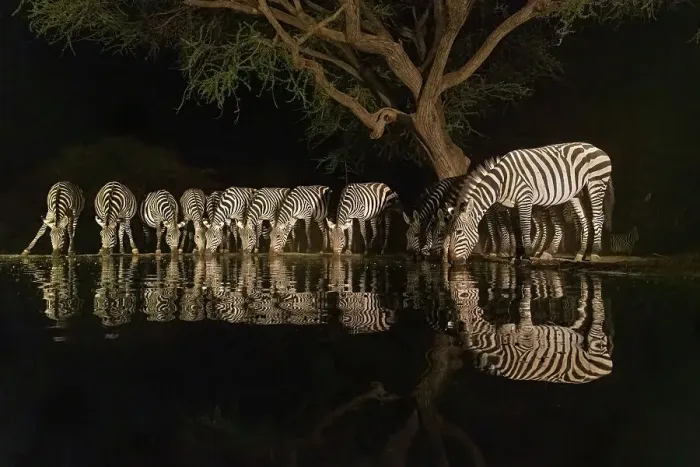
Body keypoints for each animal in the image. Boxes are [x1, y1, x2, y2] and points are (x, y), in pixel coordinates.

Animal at [444, 142, 614, 264]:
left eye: (459, 232)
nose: (451, 261)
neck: (502, 181)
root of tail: (598, 149)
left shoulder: (524, 197)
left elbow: (524, 226)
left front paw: (526, 254)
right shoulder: (511, 204)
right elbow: (514, 228)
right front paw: (514, 255)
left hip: (596, 182)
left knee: (598, 217)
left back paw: (594, 253)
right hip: (577, 193)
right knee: (584, 220)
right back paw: (580, 254)